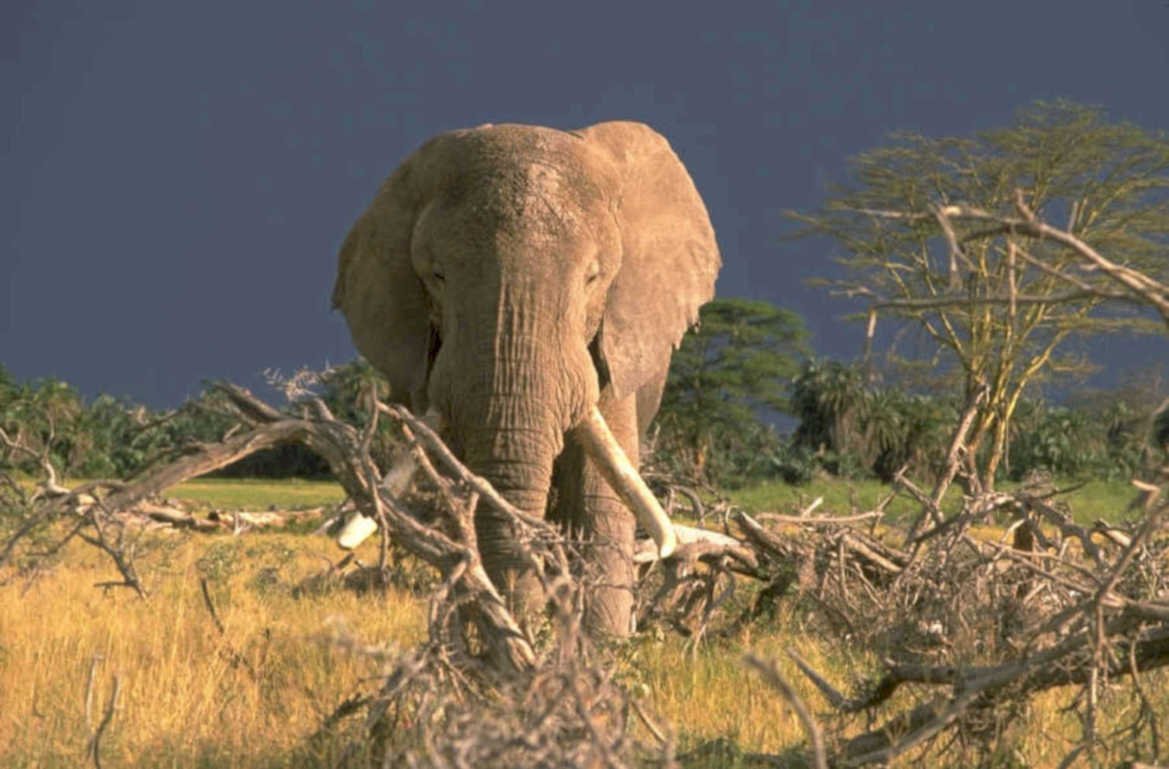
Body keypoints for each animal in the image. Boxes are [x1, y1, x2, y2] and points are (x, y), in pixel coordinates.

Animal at [332, 121, 720, 637]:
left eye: (593, 278)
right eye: (437, 276)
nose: (523, 627)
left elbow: (600, 489)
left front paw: (606, 645)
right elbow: (458, 484)